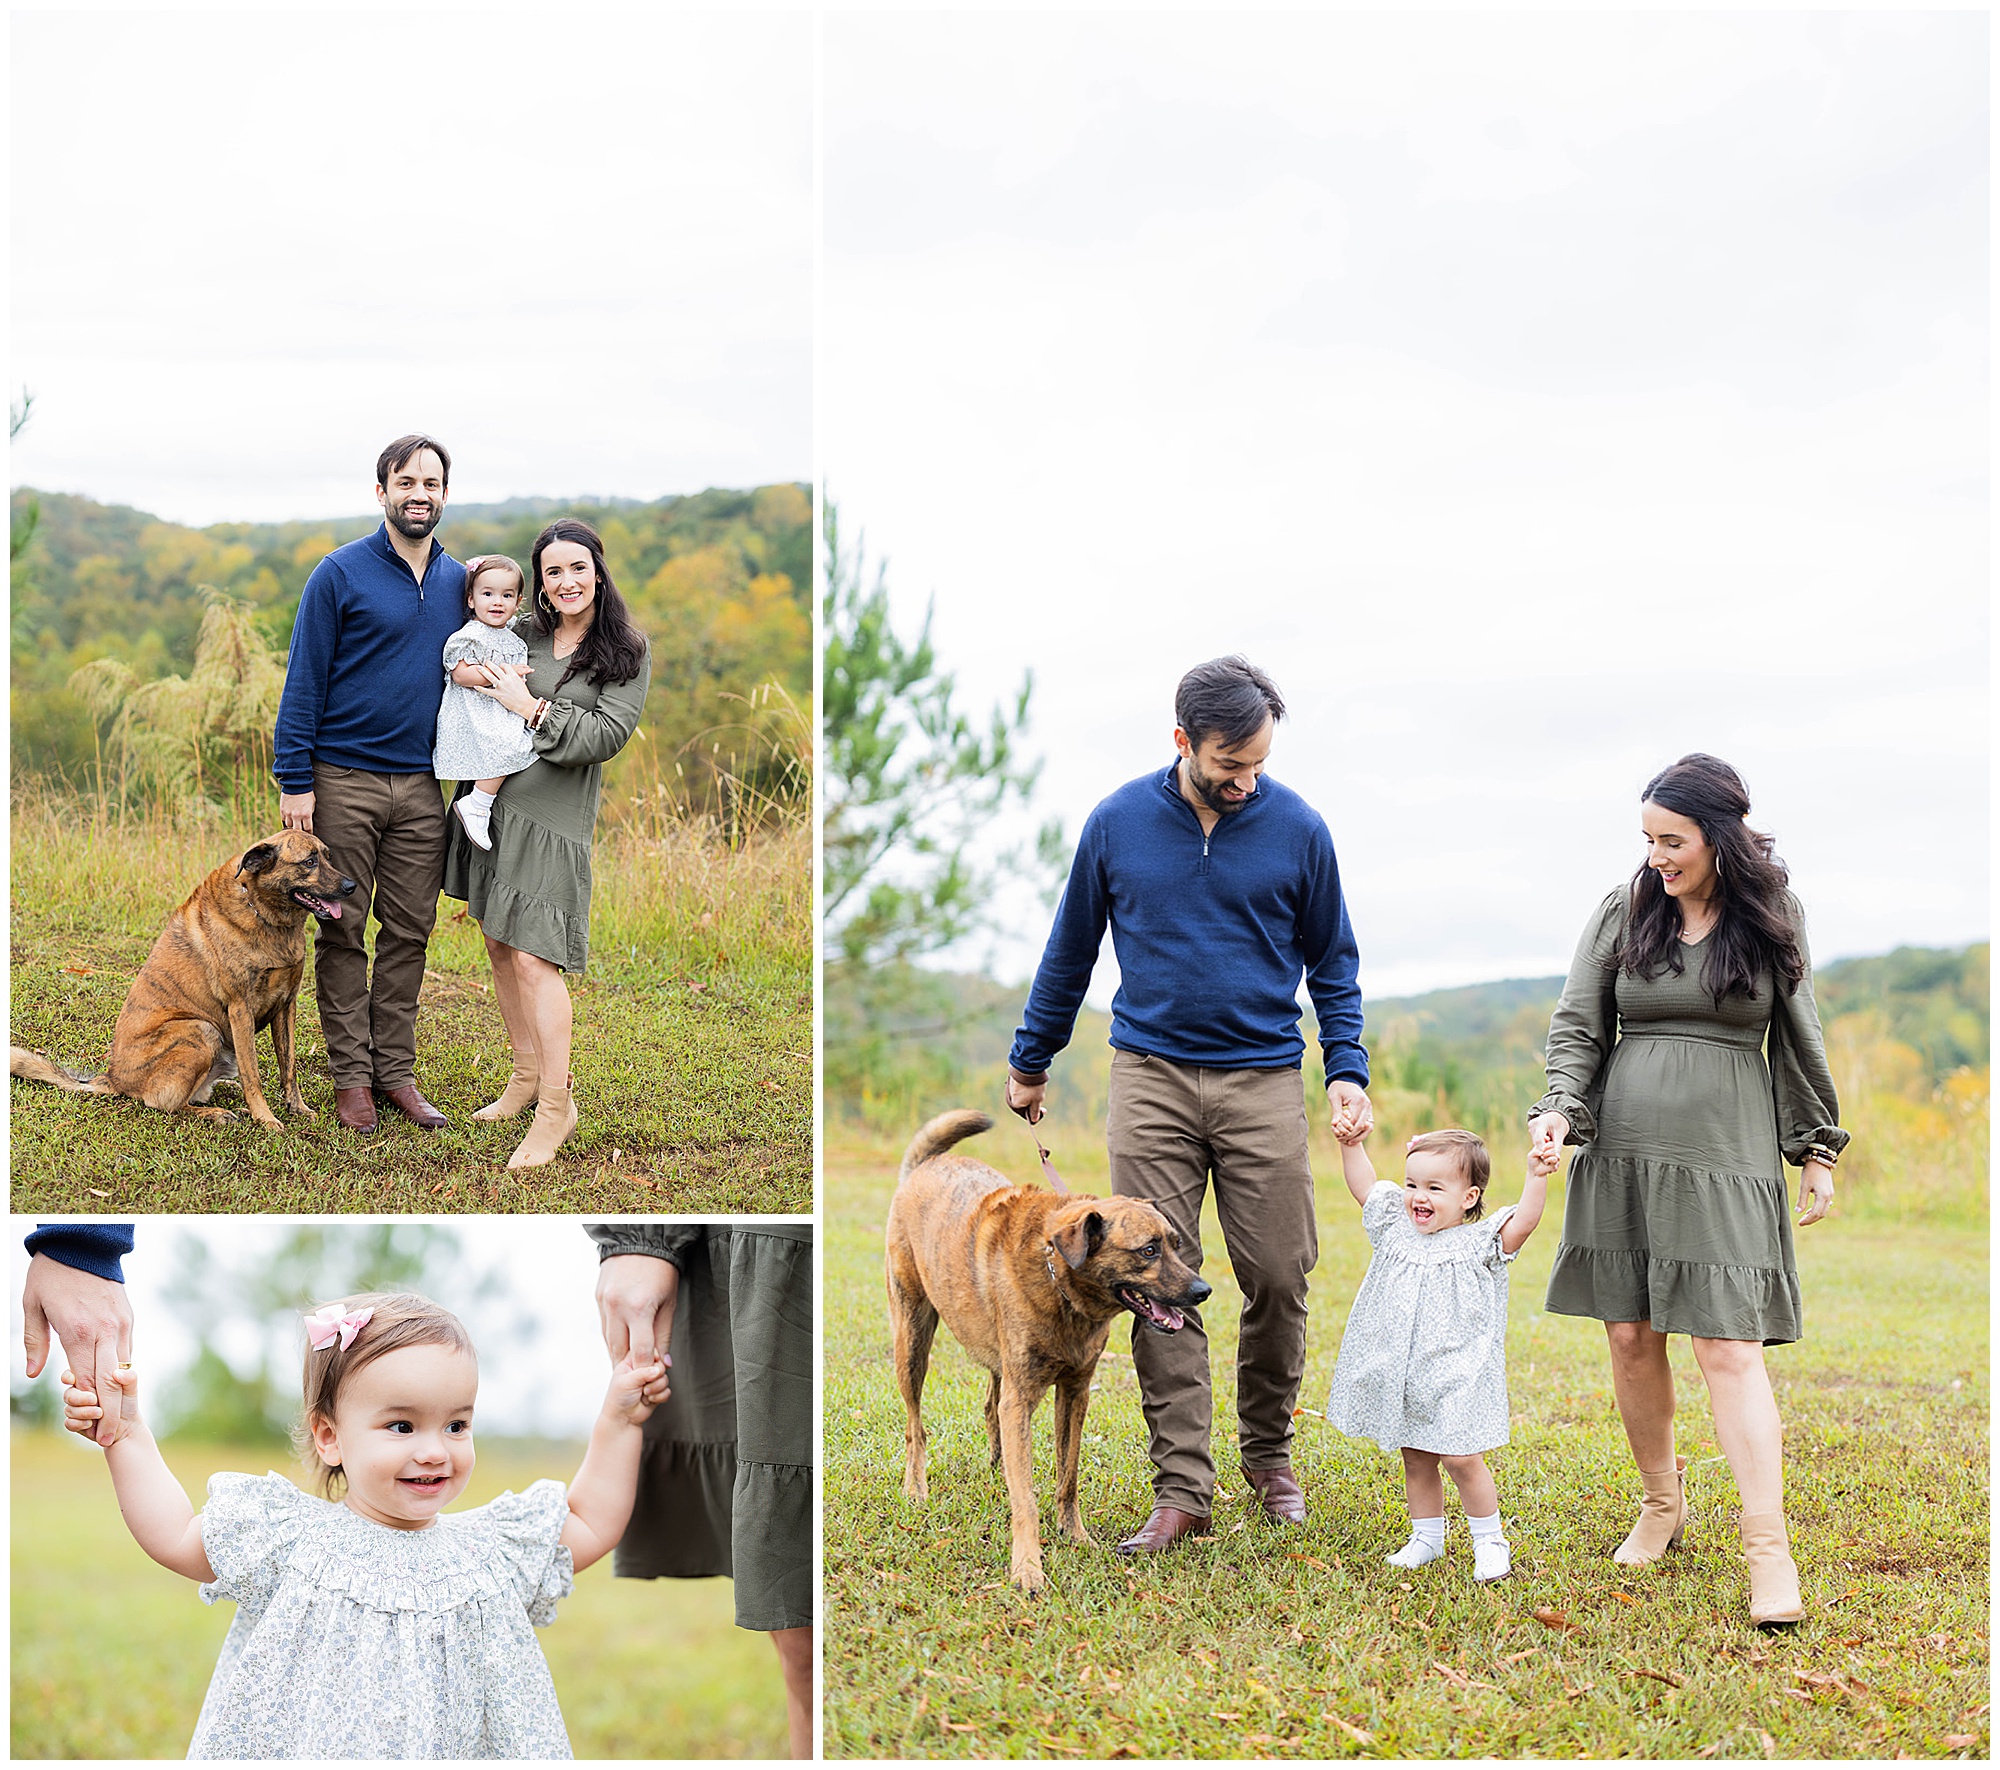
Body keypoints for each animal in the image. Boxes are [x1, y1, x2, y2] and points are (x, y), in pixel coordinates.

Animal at [10, 832, 356, 1136]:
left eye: (328, 856)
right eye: (309, 861)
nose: (352, 886)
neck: (263, 912)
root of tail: (113, 1078)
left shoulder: (286, 1005)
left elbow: (289, 1066)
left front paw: (296, 1108)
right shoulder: (240, 1010)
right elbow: (253, 1074)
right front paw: (265, 1118)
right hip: (201, 1030)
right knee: (165, 1103)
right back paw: (217, 1113)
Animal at [896, 1104, 1216, 1592]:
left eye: (1177, 1246)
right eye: (1148, 1251)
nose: (1203, 1291)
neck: (1059, 1278)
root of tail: (924, 1166)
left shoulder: (1074, 1392)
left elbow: (1068, 1474)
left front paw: (1075, 1534)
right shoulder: (1022, 1398)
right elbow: (1026, 1497)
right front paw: (1028, 1567)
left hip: (996, 1362)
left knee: (990, 1405)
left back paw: (995, 1467)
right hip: (913, 1339)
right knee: (917, 1426)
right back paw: (917, 1488)